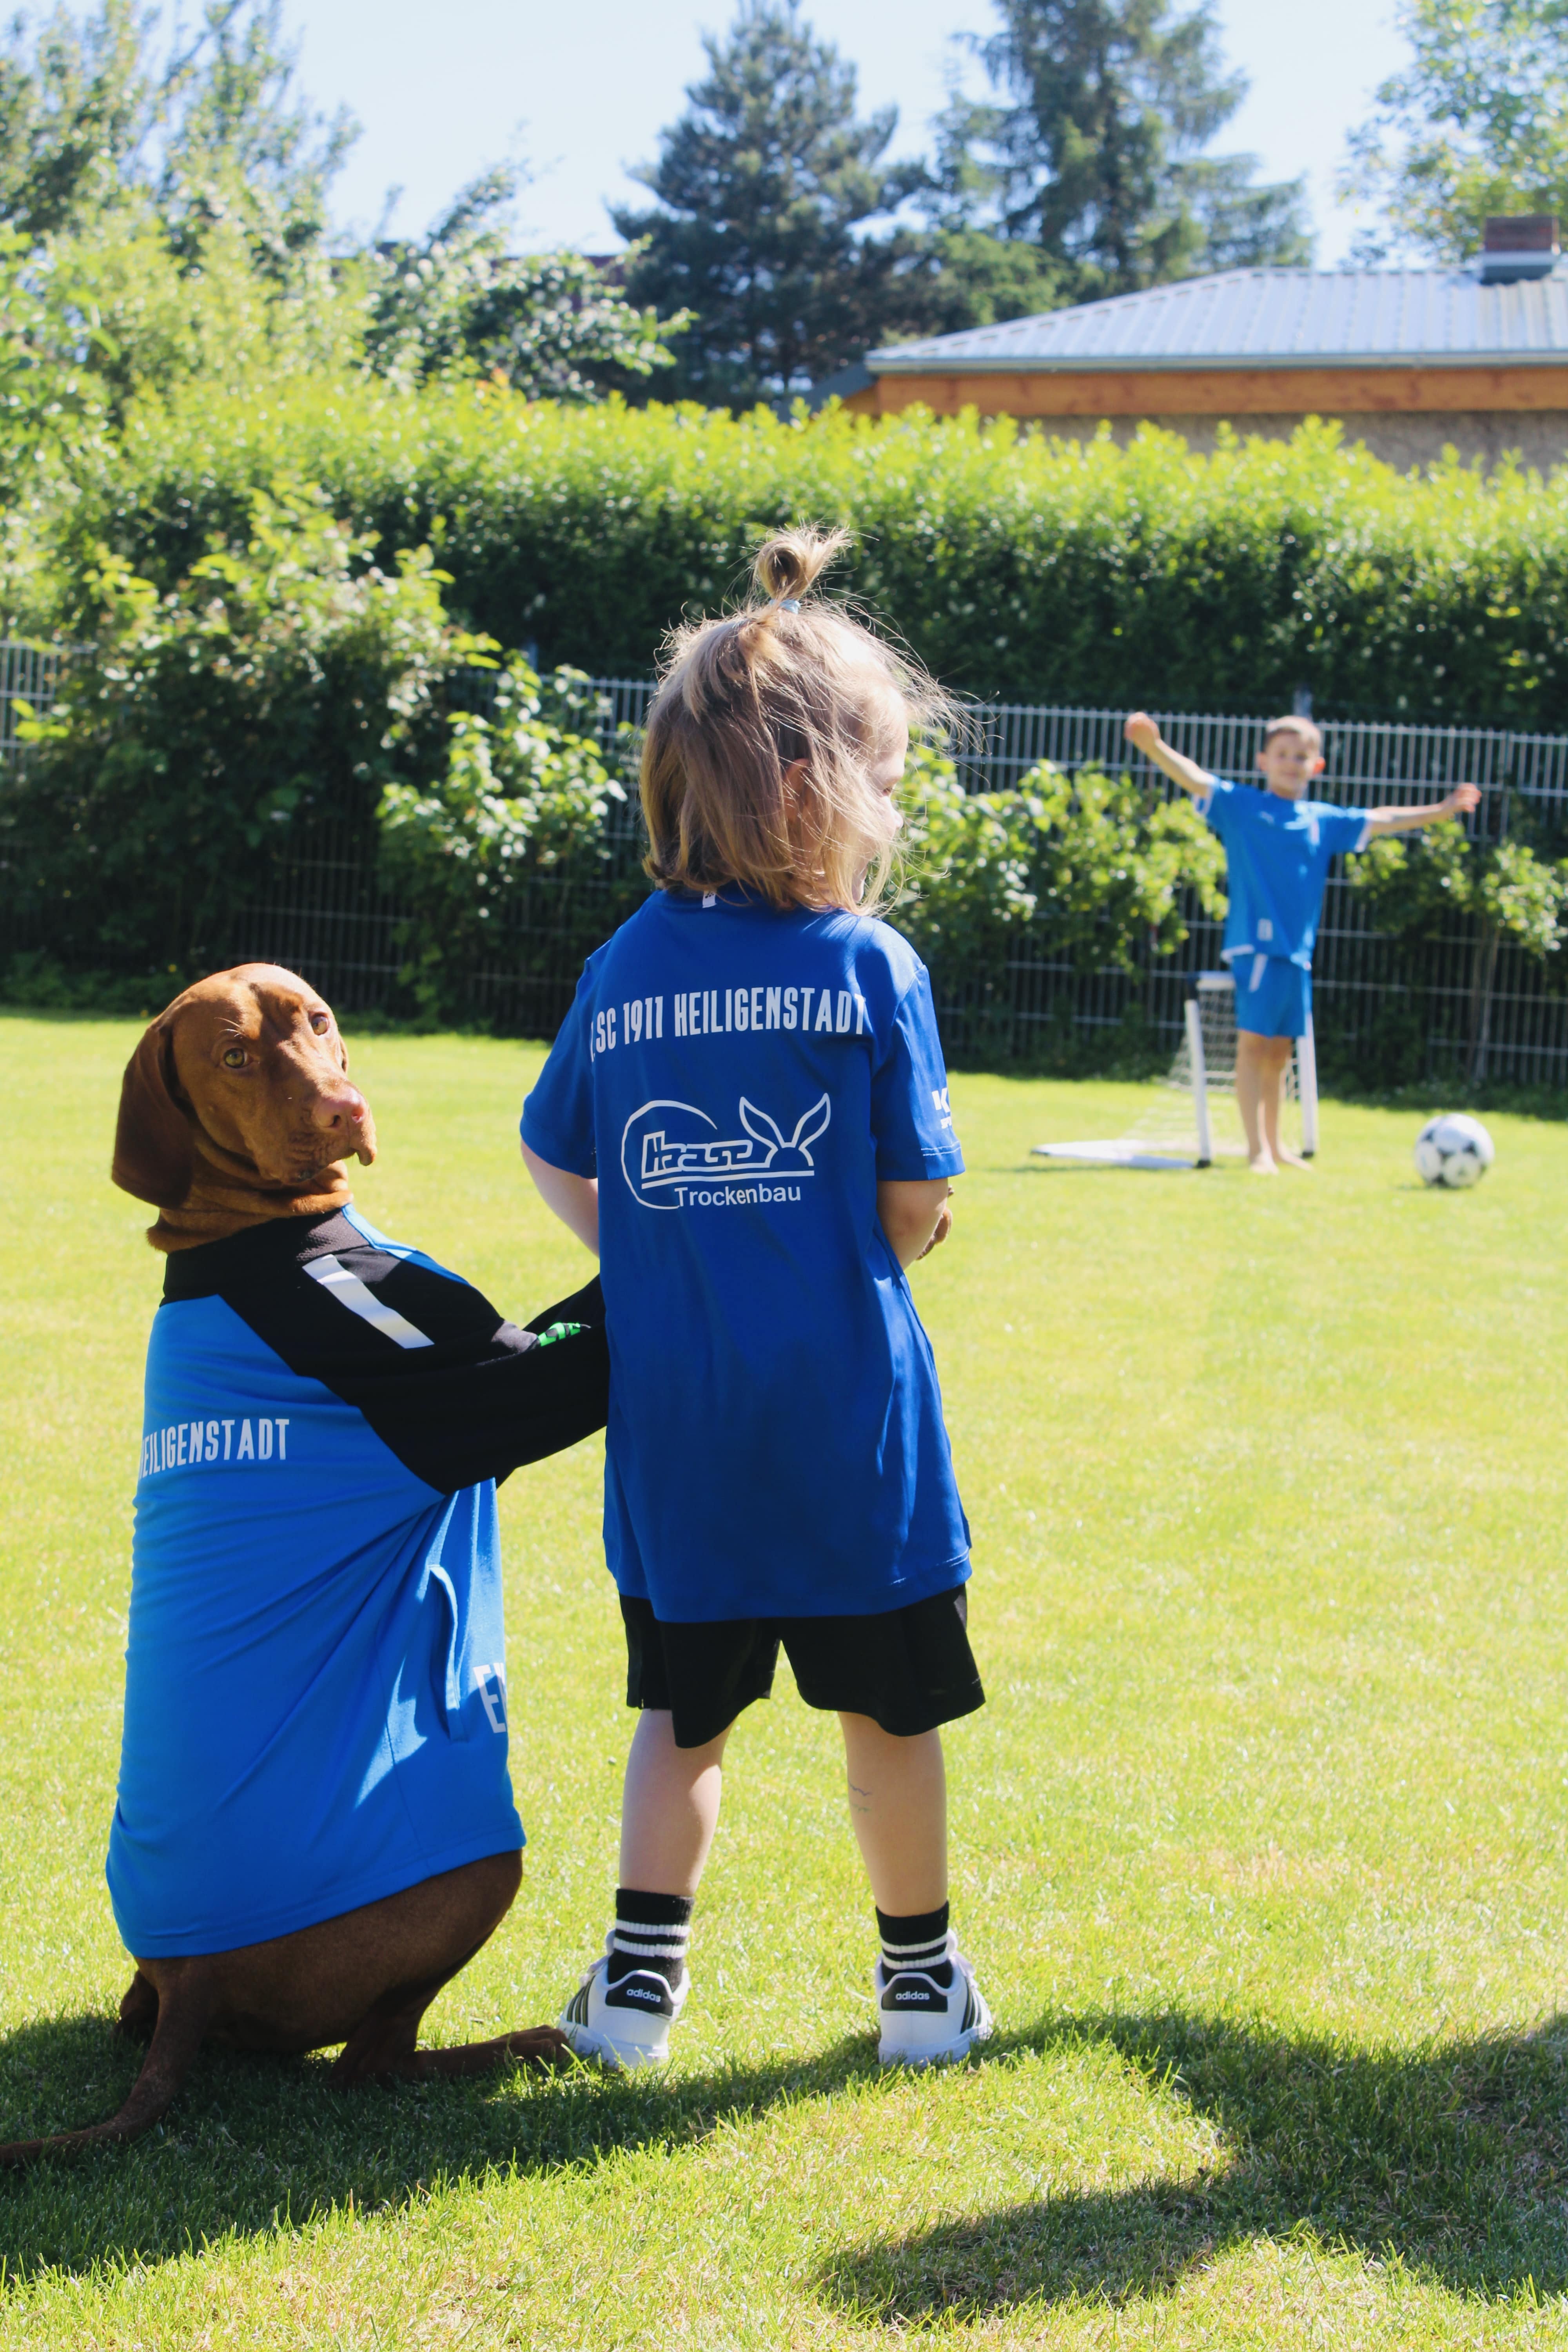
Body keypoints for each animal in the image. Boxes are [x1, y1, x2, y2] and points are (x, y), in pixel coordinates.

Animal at [1, 964, 611, 2154]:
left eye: (320, 1024)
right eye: (234, 1056)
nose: (343, 1111)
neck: (234, 1239)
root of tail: (191, 1981)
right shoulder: (461, 1371)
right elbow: (588, 1342)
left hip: (159, 1997)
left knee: (134, 2020)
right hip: (479, 1865)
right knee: (369, 2064)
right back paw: (510, 2048)